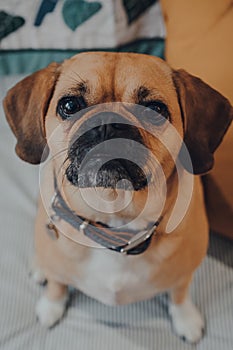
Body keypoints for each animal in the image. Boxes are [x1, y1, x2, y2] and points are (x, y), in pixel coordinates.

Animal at [2, 52, 232, 342]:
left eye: (155, 109)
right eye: (69, 105)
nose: (107, 124)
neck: (115, 222)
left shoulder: (184, 273)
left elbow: (179, 292)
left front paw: (185, 318)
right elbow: (57, 284)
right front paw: (51, 306)